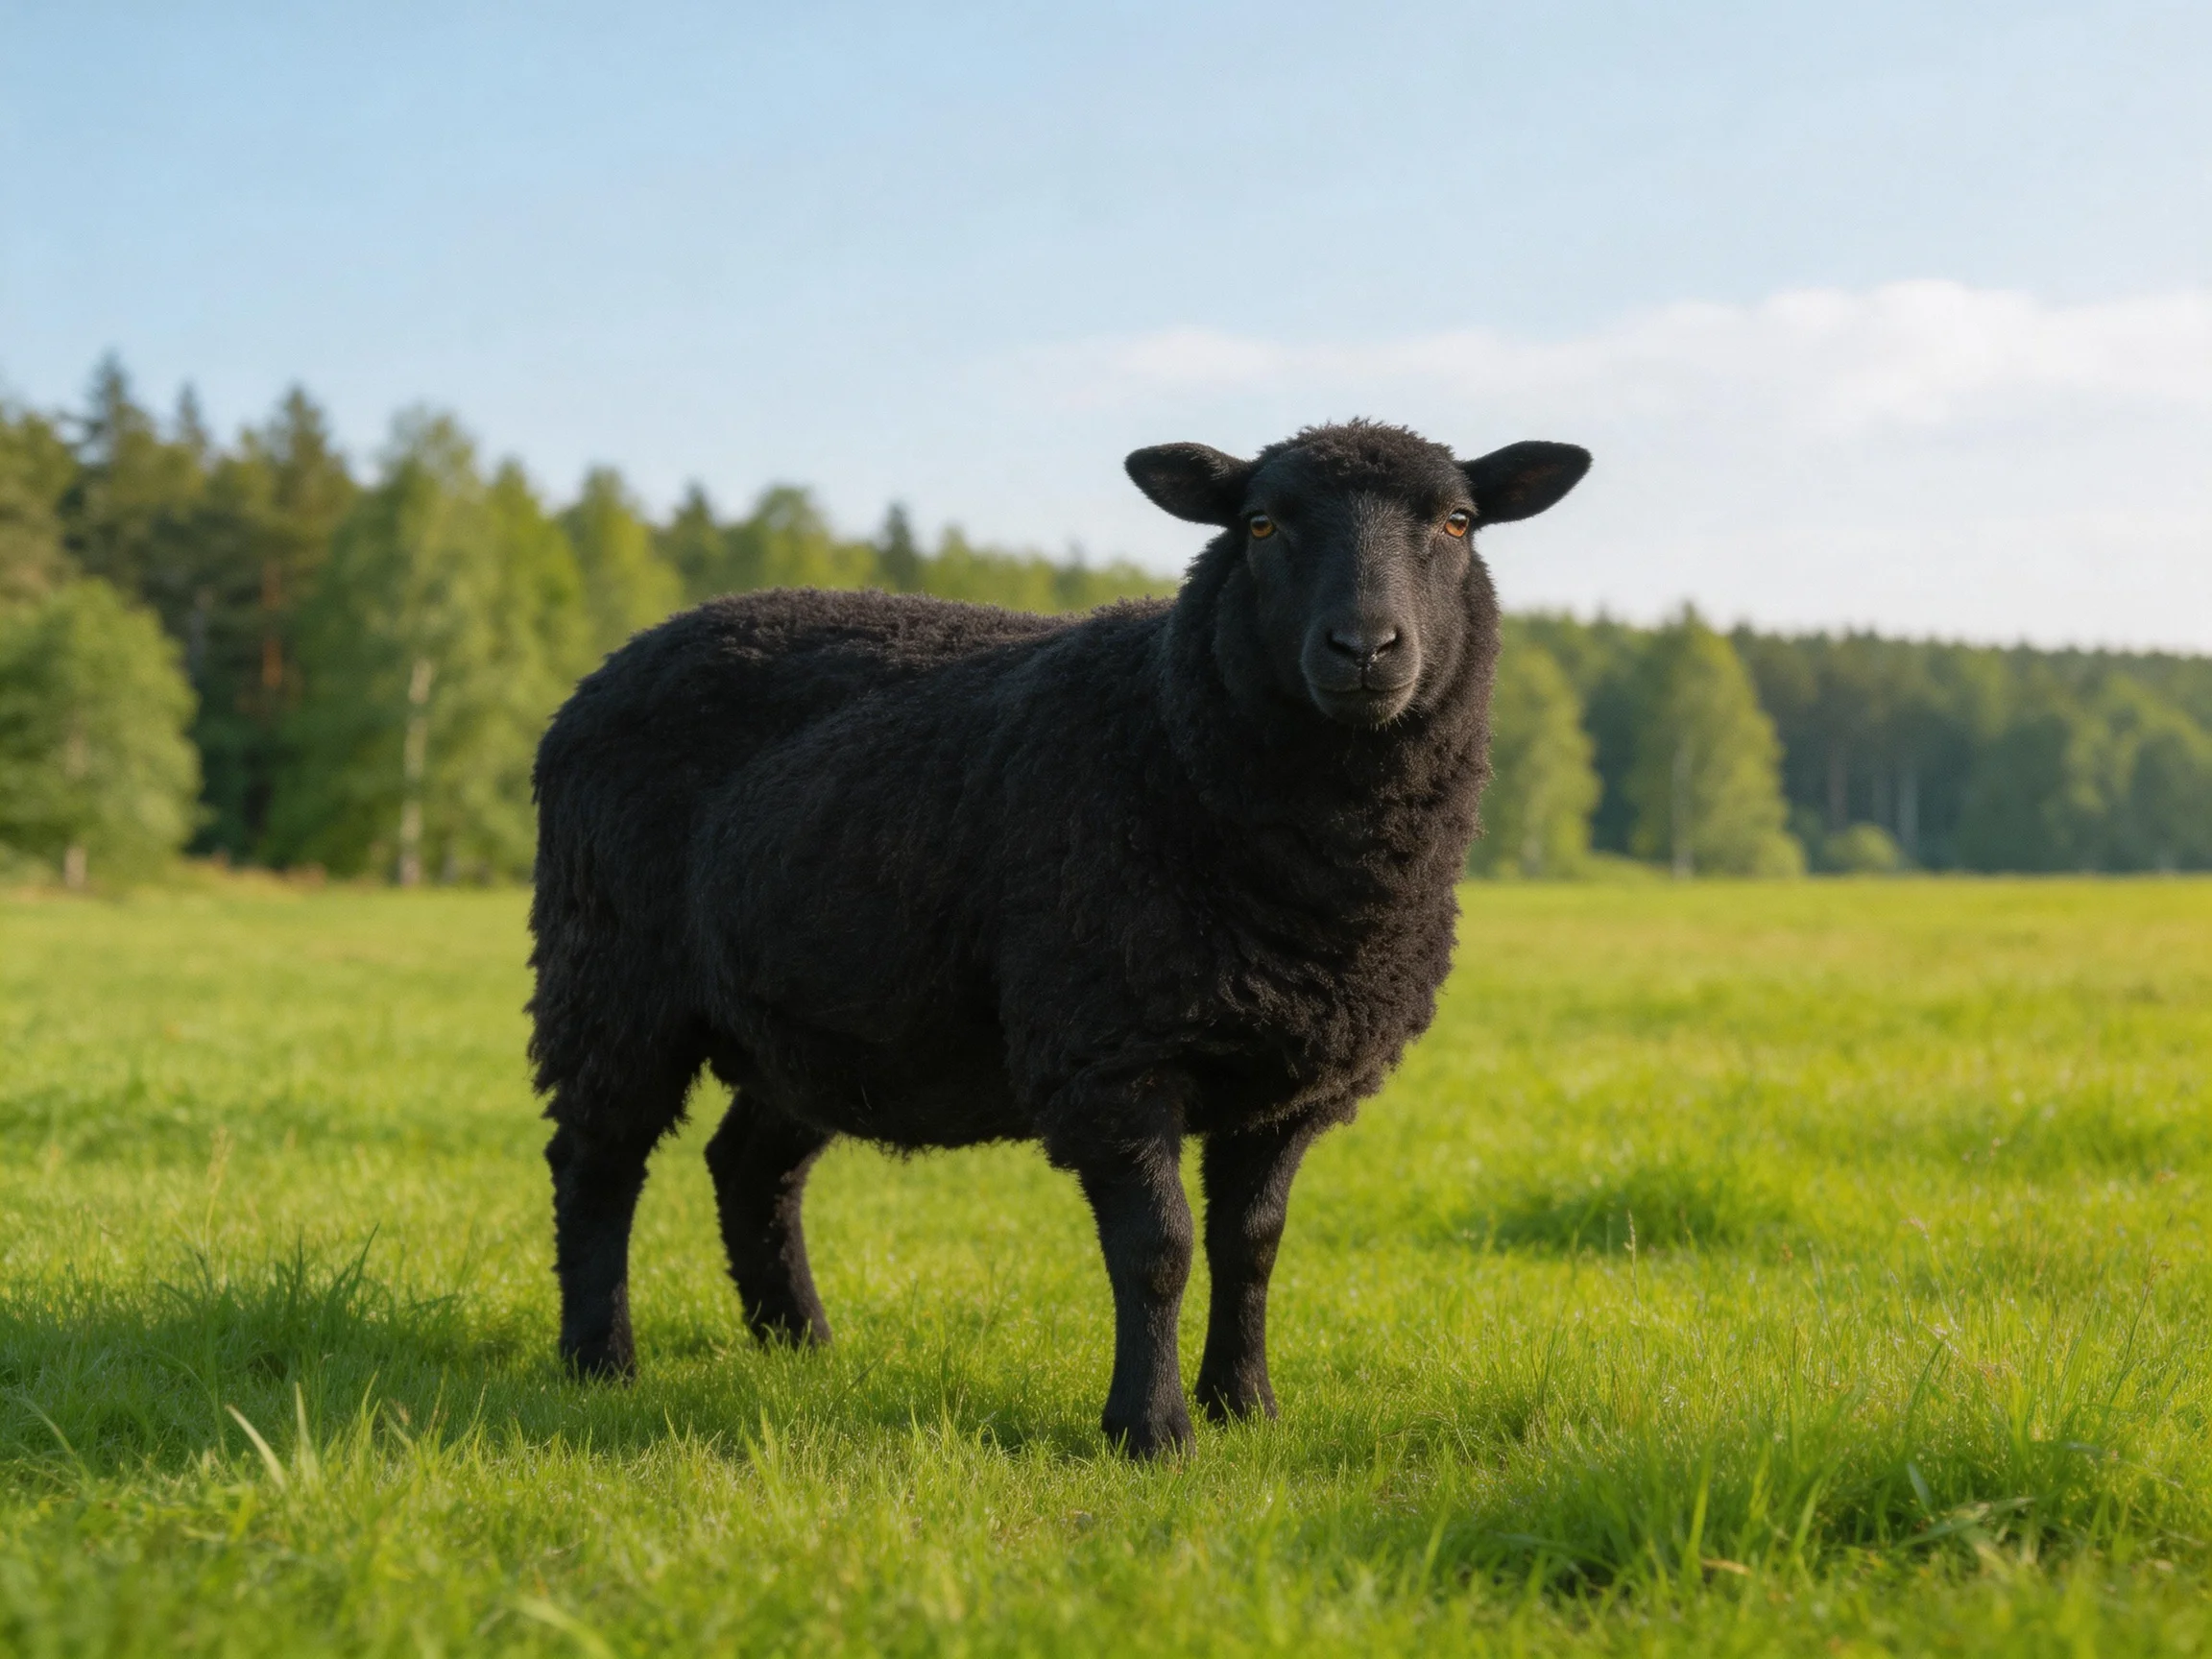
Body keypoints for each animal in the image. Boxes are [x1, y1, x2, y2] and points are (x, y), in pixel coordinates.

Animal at [528, 421, 1590, 1456]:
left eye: (1457, 523)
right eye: (1260, 525)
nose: (1364, 647)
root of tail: (609, 669)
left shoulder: (1292, 1077)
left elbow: (1252, 1243)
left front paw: (1246, 1405)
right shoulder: (1110, 1050)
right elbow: (1159, 1249)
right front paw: (1150, 1430)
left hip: (815, 1022)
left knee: (751, 1166)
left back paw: (800, 1345)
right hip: (610, 973)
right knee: (596, 1160)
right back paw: (598, 1359)